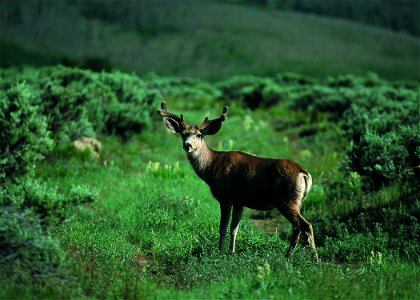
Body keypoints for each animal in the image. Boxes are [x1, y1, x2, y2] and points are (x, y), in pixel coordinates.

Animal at [158, 101, 318, 260]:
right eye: (183, 134)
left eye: (199, 135)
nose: (187, 145)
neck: (211, 166)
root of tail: (304, 173)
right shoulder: (239, 201)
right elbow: (234, 228)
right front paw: (231, 252)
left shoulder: (226, 196)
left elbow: (223, 227)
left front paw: (220, 251)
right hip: (297, 202)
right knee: (298, 227)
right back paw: (290, 255)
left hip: (286, 200)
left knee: (306, 226)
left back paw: (313, 258)